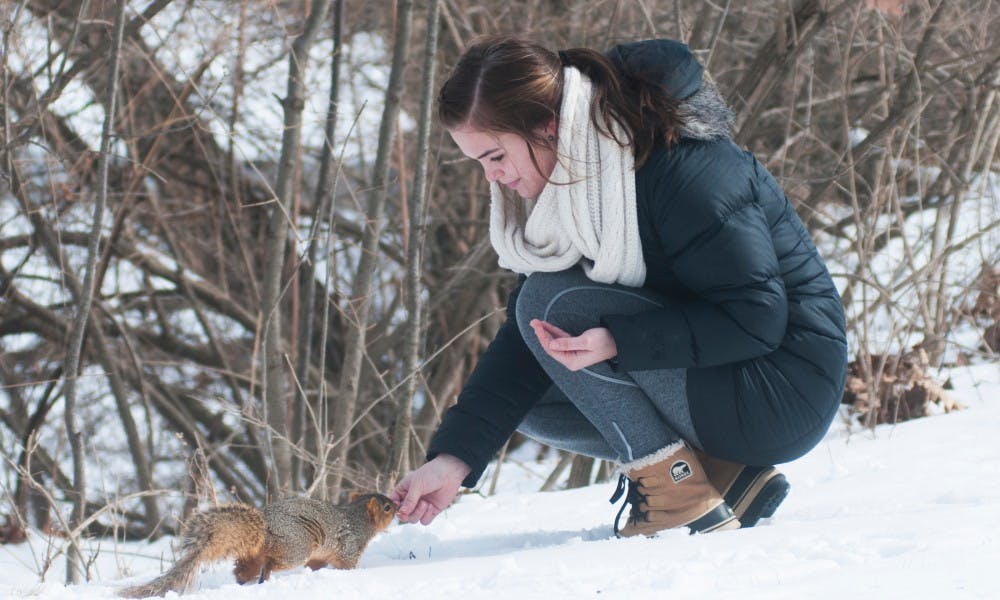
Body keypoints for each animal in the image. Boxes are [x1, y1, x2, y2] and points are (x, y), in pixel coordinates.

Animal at [120, 492, 394, 596]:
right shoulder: (349, 547)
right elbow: (347, 565)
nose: (397, 503)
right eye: (387, 508)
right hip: (297, 548)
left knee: (242, 570)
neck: (358, 519)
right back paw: (265, 576)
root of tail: (264, 528)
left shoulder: (320, 557)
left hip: (252, 556)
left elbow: (317, 566)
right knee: (272, 563)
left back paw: (246, 583)